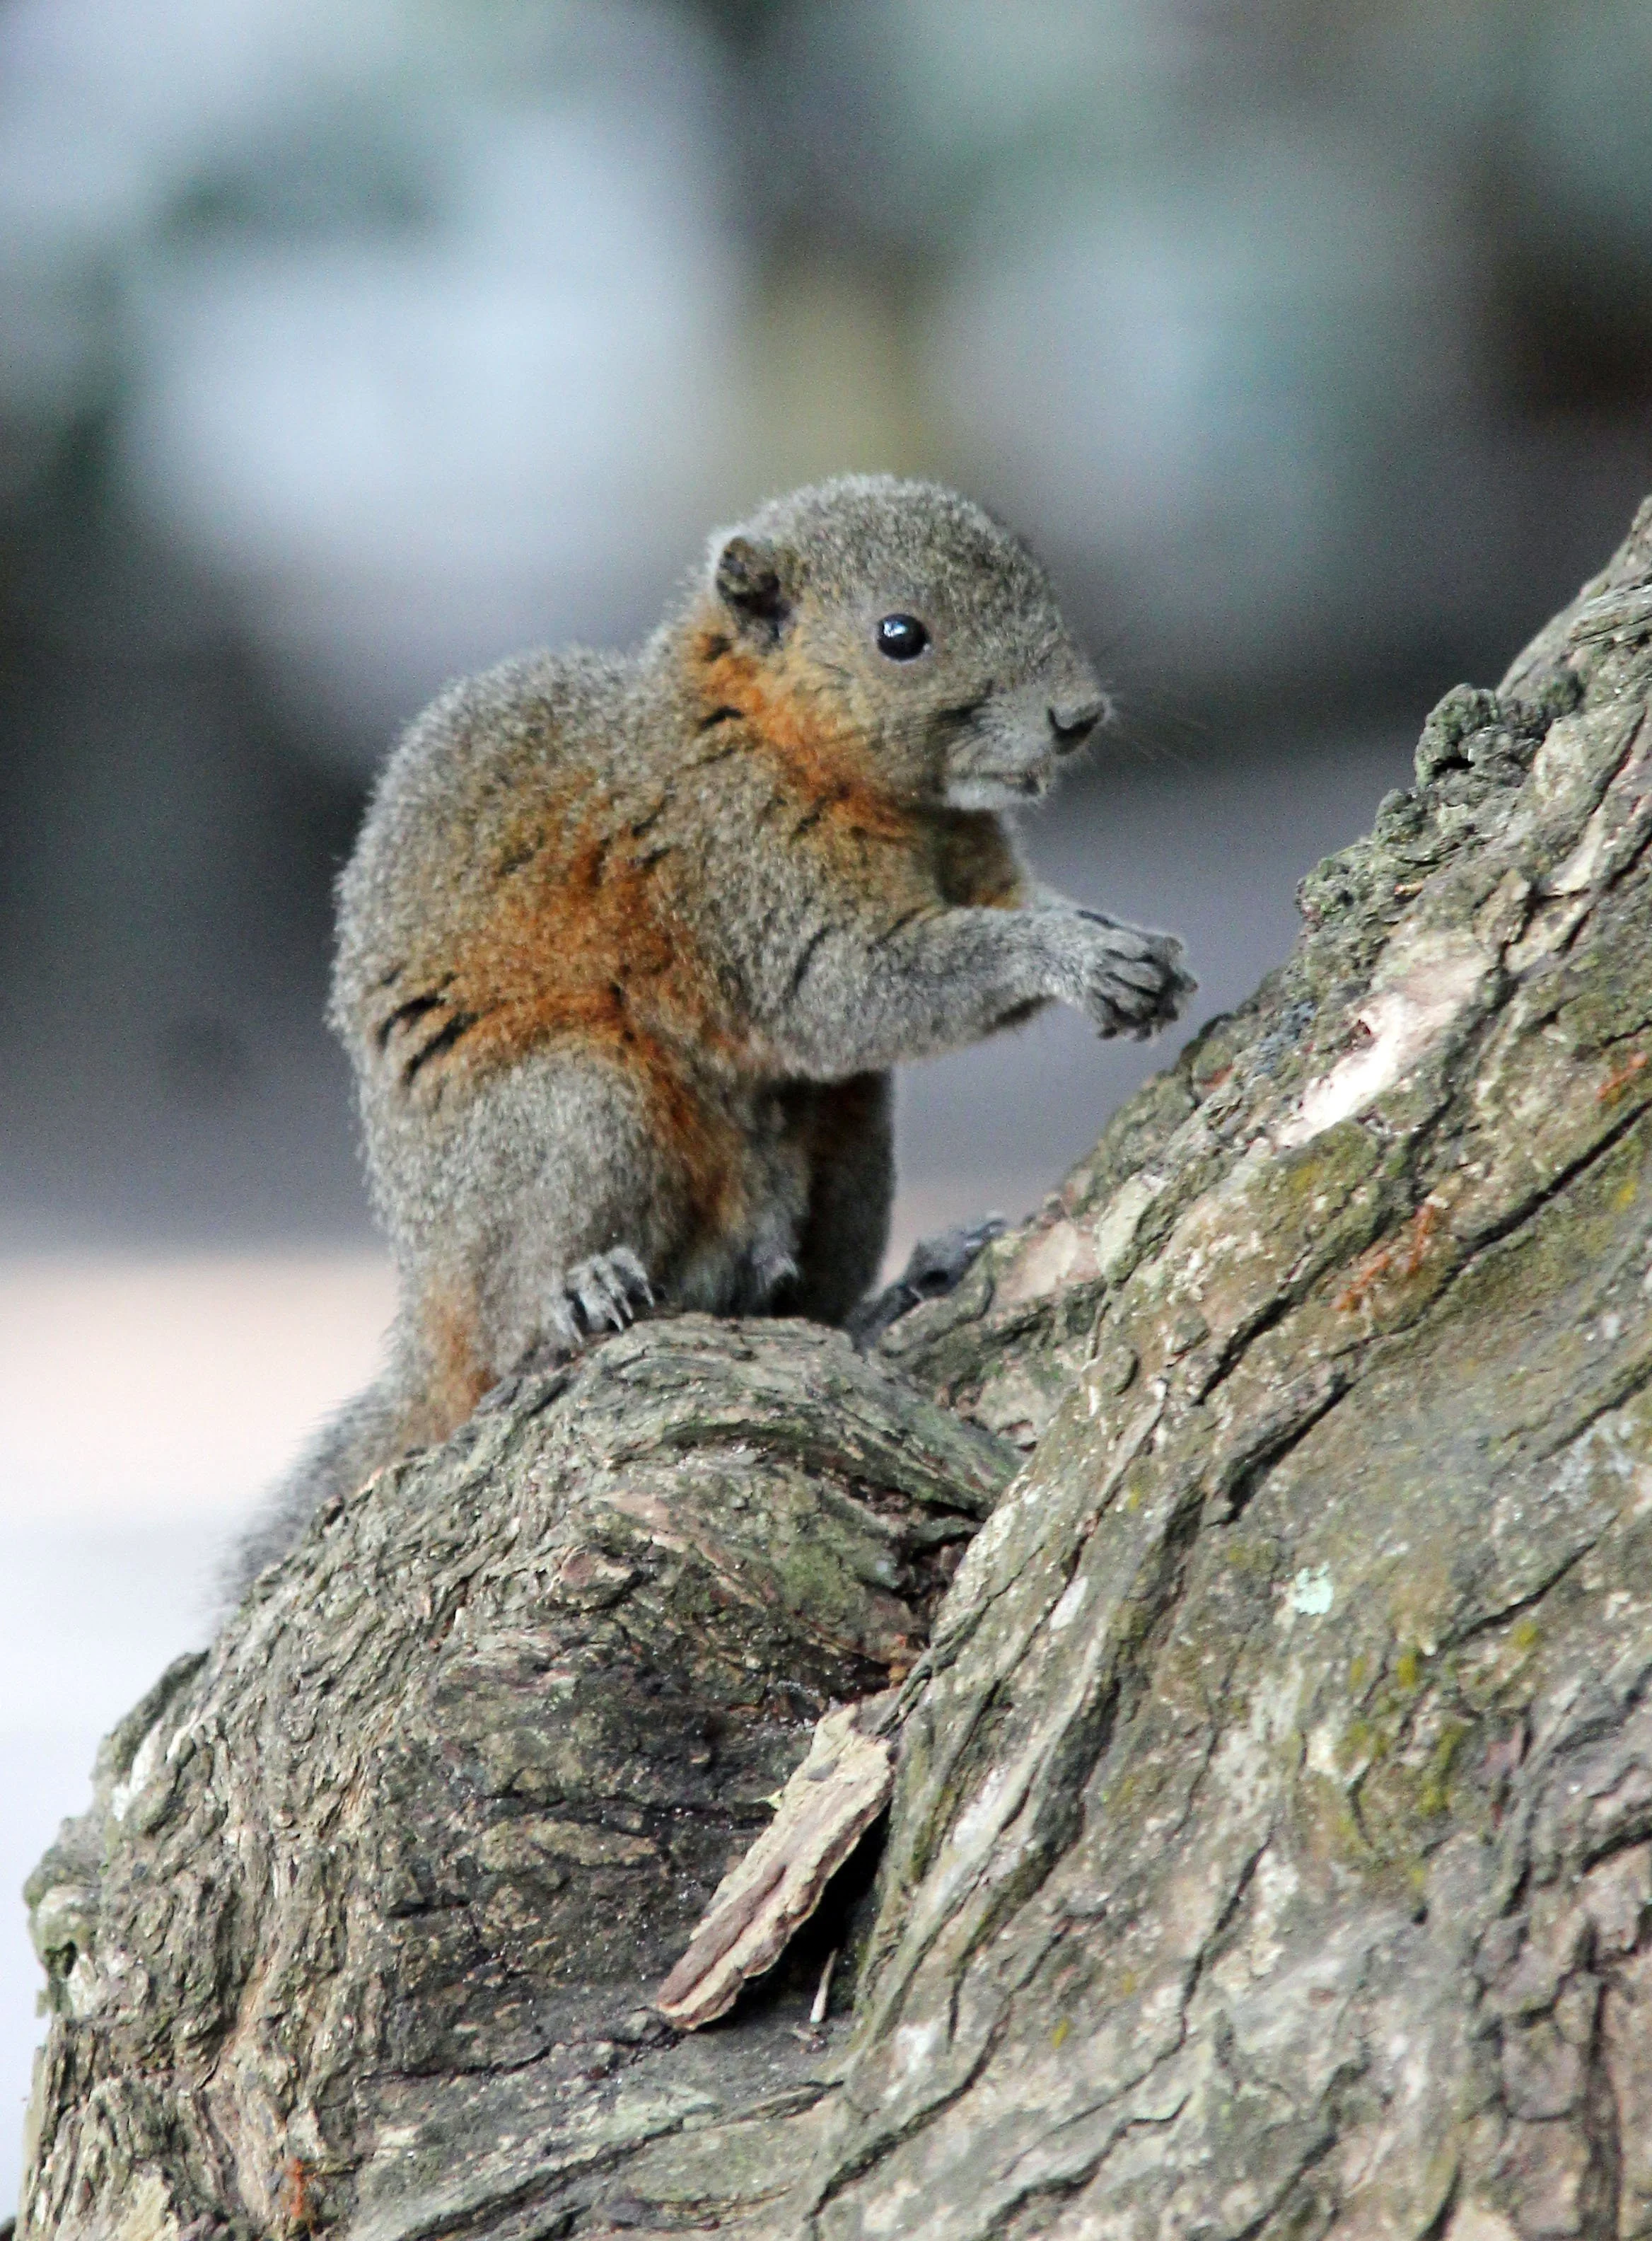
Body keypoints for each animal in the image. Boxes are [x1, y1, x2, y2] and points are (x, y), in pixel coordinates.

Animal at [230, 476, 1193, 1592]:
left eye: (1032, 568)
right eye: (899, 636)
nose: (1077, 717)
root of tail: (426, 1315)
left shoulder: (973, 860)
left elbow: (1012, 909)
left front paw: (1123, 941)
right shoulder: (737, 874)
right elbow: (849, 994)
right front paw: (1069, 957)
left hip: (851, 1154)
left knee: (801, 1299)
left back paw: (899, 1290)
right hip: (568, 1110)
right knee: (517, 1325)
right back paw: (576, 1291)